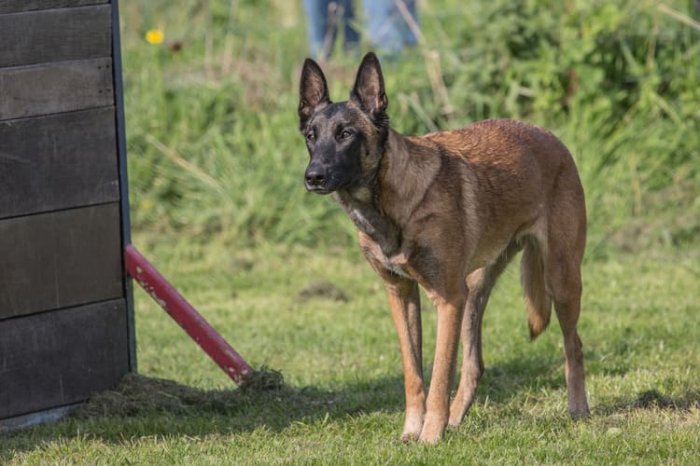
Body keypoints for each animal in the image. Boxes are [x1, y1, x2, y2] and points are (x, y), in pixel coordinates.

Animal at [298, 52, 588, 442]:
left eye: (346, 134)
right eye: (311, 136)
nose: (313, 177)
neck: (393, 202)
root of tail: (551, 137)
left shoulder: (447, 299)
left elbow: (438, 375)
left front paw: (430, 436)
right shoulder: (402, 294)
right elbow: (414, 373)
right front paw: (412, 430)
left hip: (560, 279)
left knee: (574, 345)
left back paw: (578, 409)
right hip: (474, 290)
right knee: (474, 364)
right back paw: (456, 417)